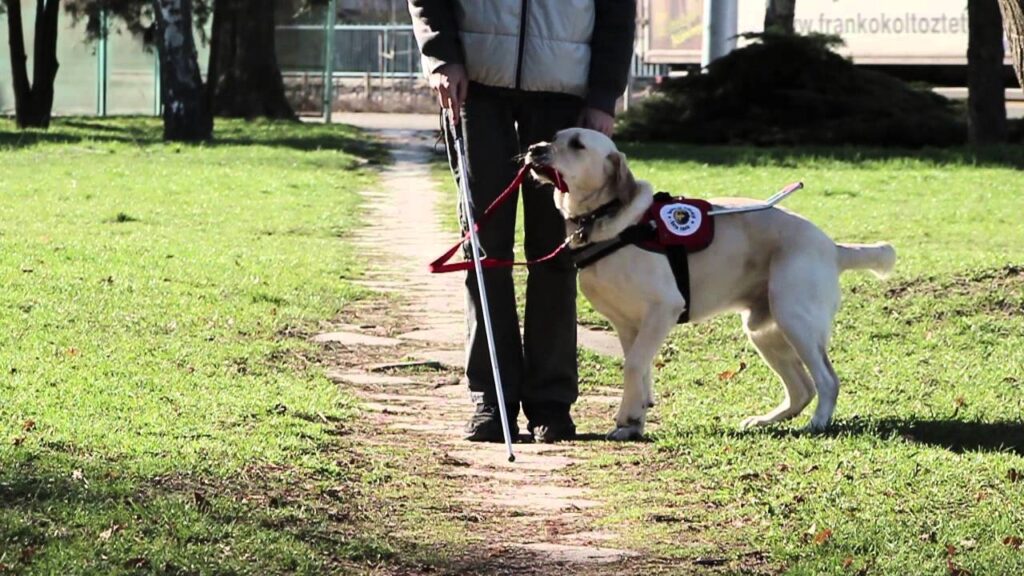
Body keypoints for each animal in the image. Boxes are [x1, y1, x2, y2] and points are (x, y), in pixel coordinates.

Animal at [528, 127, 897, 436]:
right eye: (555, 136)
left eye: (577, 144)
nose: (534, 148)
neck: (610, 222)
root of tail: (832, 247)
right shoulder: (628, 325)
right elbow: (641, 369)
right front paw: (636, 417)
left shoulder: (663, 308)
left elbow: (633, 365)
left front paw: (628, 420)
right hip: (765, 330)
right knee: (801, 390)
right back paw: (764, 421)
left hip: (795, 319)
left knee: (827, 380)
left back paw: (817, 423)